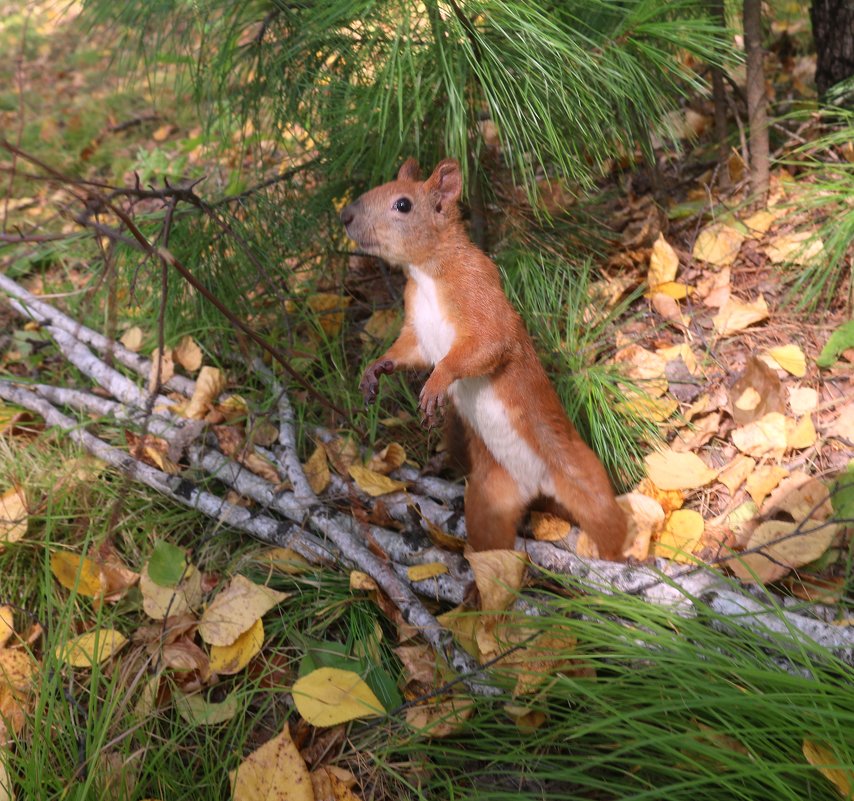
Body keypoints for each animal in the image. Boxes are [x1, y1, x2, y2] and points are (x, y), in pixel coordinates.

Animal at [340, 155, 628, 556]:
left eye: (403, 204)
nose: (345, 215)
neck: (424, 272)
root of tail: (537, 486)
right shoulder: (417, 330)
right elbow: (409, 352)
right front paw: (375, 370)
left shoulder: (479, 293)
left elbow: (485, 345)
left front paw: (436, 385)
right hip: (489, 498)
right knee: (492, 546)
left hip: (580, 472)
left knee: (607, 518)